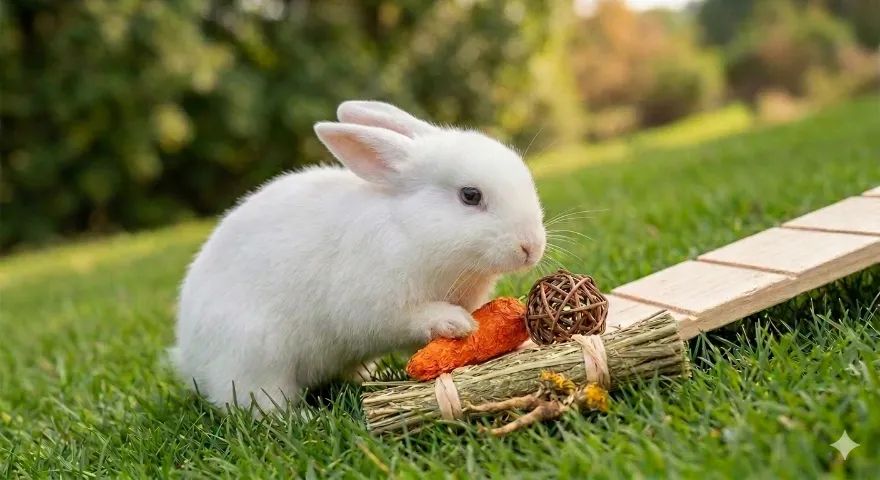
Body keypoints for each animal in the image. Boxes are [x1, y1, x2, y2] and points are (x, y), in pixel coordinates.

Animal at [171, 100, 546, 413]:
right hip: (255, 357)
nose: (531, 247)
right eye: (470, 195)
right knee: (257, 405)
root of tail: (189, 356)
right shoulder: (377, 306)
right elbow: (414, 318)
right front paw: (456, 324)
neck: (410, 230)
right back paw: (305, 417)